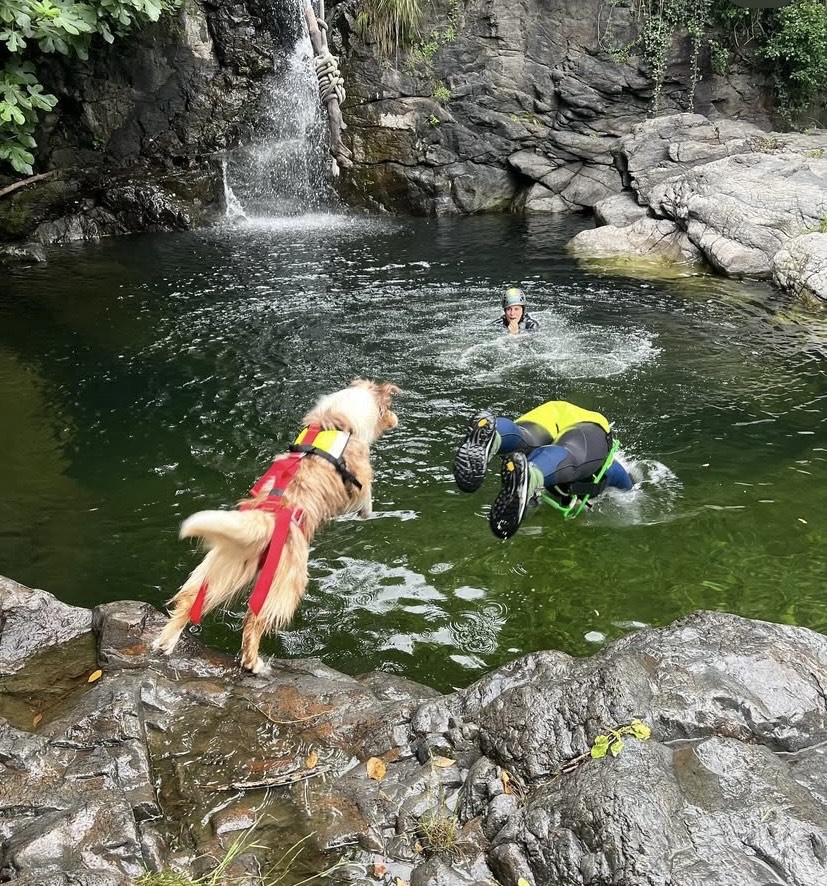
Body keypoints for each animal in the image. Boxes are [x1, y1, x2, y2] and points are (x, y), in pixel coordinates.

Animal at [153, 378, 400, 673]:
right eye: (389, 407)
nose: (396, 419)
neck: (338, 422)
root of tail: (265, 521)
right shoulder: (360, 476)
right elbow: (366, 493)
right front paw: (366, 511)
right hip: (285, 586)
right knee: (253, 622)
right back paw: (254, 663)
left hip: (223, 570)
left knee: (189, 601)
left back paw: (166, 642)